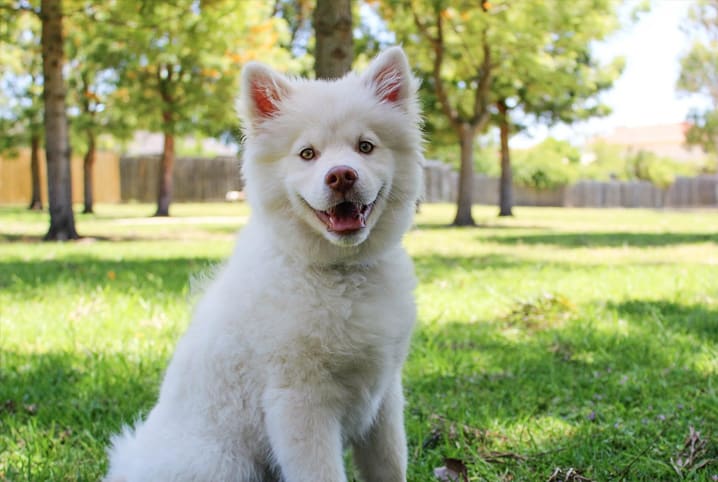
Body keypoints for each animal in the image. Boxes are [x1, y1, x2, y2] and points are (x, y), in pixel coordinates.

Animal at [104, 46, 424, 482]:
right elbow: (323, 473)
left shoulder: (384, 395)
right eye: (307, 154)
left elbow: (390, 465)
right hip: (223, 463)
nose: (341, 175)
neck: (340, 274)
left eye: (365, 146)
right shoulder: (299, 401)